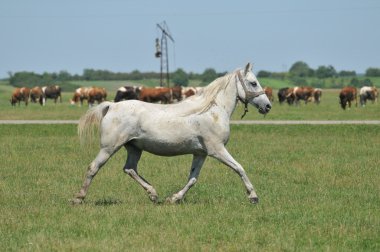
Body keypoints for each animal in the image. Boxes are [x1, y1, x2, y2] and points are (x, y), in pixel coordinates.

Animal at [72, 63, 272, 205]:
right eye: (253, 83)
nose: (268, 106)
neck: (212, 111)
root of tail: (111, 106)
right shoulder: (217, 150)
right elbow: (239, 168)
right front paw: (253, 196)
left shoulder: (201, 153)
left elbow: (192, 178)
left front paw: (174, 198)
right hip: (109, 148)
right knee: (93, 168)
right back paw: (78, 198)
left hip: (134, 148)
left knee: (130, 169)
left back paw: (153, 194)